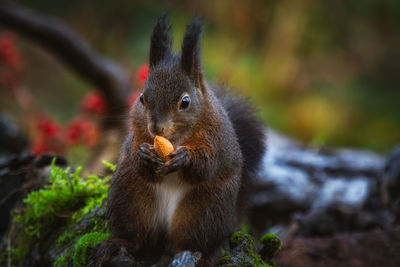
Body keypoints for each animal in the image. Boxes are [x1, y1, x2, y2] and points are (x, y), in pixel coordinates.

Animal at [89, 15, 268, 266]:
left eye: (185, 101)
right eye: (142, 98)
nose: (156, 127)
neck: (173, 138)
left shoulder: (214, 137)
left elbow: (204, 167)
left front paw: (184, 158)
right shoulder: (138, 133)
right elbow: (140, 163)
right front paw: (144, 154)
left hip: (203, 212)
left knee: (189, 243)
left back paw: (194, 255)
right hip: (129, 198)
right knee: (137, 238)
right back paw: (117, 243)